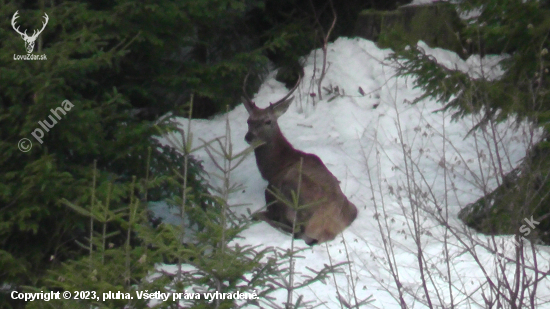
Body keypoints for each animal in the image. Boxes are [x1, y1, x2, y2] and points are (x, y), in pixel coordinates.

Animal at [245, 73, 358, 244]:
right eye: (248, 121)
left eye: (268, 121)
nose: (248, 136)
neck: (275, 167)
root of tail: (326, 231)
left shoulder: (272, 188)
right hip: (353, 209)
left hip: (294, 189)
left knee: (297, 230)